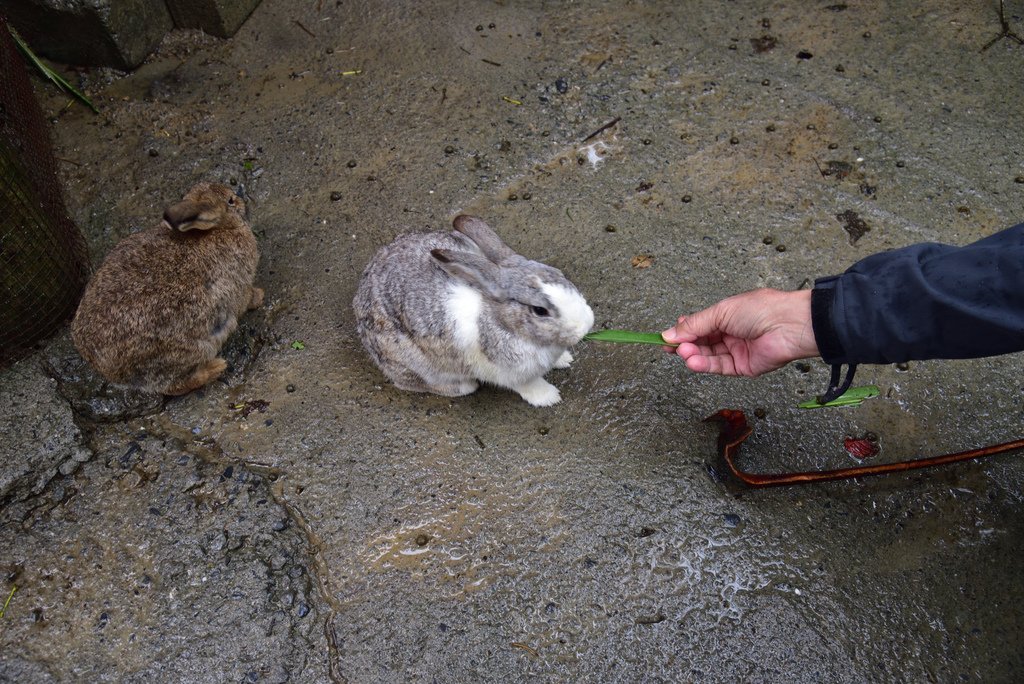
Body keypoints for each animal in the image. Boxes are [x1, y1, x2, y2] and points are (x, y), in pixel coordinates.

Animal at [71, 181, 264, 395]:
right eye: (230, 201)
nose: (242, 201)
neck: (219, 229)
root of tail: (102, 367)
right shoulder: (238, 286)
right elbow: (245, 299)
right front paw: (259, 297)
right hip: (186, 352)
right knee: (175, 385)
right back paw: (216, 368)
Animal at [352, 215, 593, 405]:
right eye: (539, 310)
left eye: (561, 275)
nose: (586, 326)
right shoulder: (512, 374)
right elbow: (529, 385)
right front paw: (550, 397)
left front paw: (565, 359)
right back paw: (462, 387)